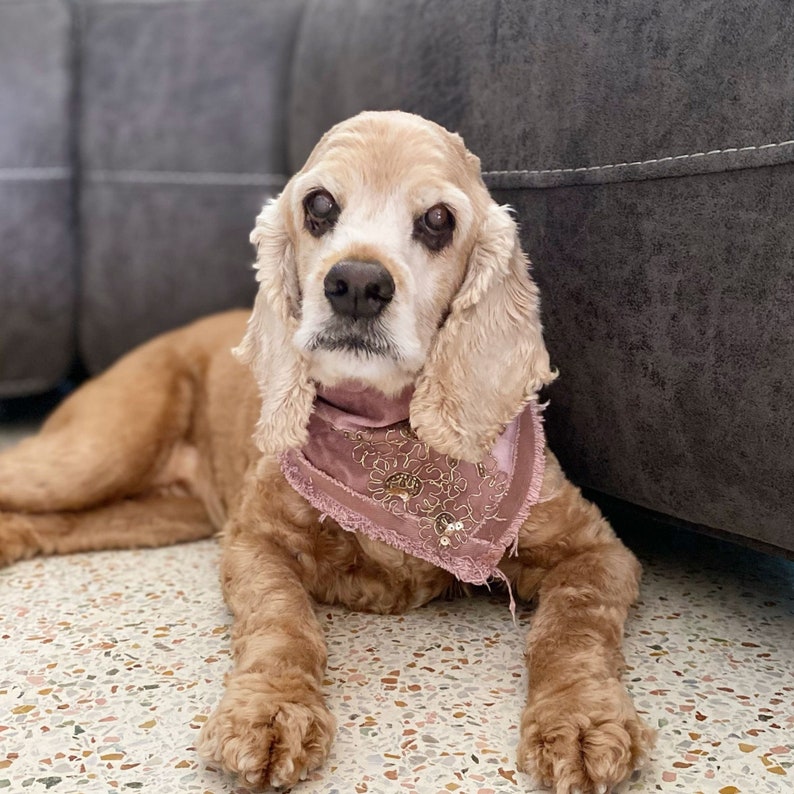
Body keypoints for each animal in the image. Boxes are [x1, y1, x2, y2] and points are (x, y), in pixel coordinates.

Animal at [0, 111, 652, 792]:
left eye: (438, 219)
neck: (386, 436)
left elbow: (573, 626)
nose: (357, 283)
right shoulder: (253, 541)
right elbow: (281, 620)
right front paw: (270, 711)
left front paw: (580, 718)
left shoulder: (596, 550)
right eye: (318, 205)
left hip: (157, 509)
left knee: (44, 524)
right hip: (96, 453)